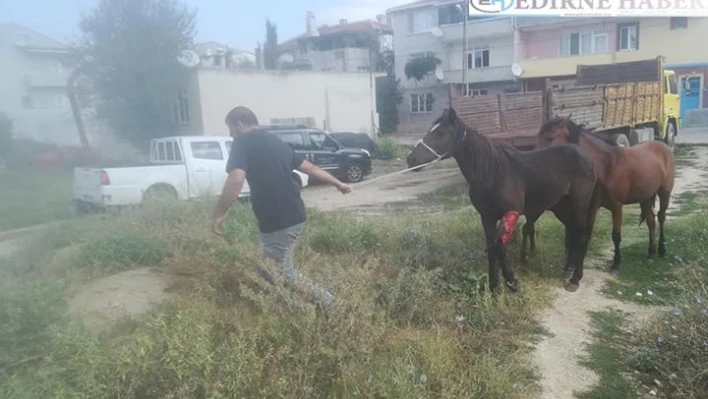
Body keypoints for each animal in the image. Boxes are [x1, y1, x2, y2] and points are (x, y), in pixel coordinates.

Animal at [406, 108, 600, 292]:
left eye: (442, 133)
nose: (411, 160)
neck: (492, 172)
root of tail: (586, 158)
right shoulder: (487, 217)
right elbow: (492, 249)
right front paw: (494, 286)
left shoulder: (510, 213)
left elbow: (500, 248)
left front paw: (511, 282)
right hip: (562, 206)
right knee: (573, 231)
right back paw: (568, 268)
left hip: (580, 204)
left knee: (582, 236)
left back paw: (575, 280)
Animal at [528, 117, 676, 274]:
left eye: (550, 138)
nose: (533, 161)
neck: (606, 166)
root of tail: (664, 146)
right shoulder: (593, 205)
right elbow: (587, 232)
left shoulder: (617, 206)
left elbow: (616, 235)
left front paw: (616, 263)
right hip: (645, 197)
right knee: (651, 220)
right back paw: (651, 253)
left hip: (664, 192)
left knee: (661, 217)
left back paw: (662, 249)